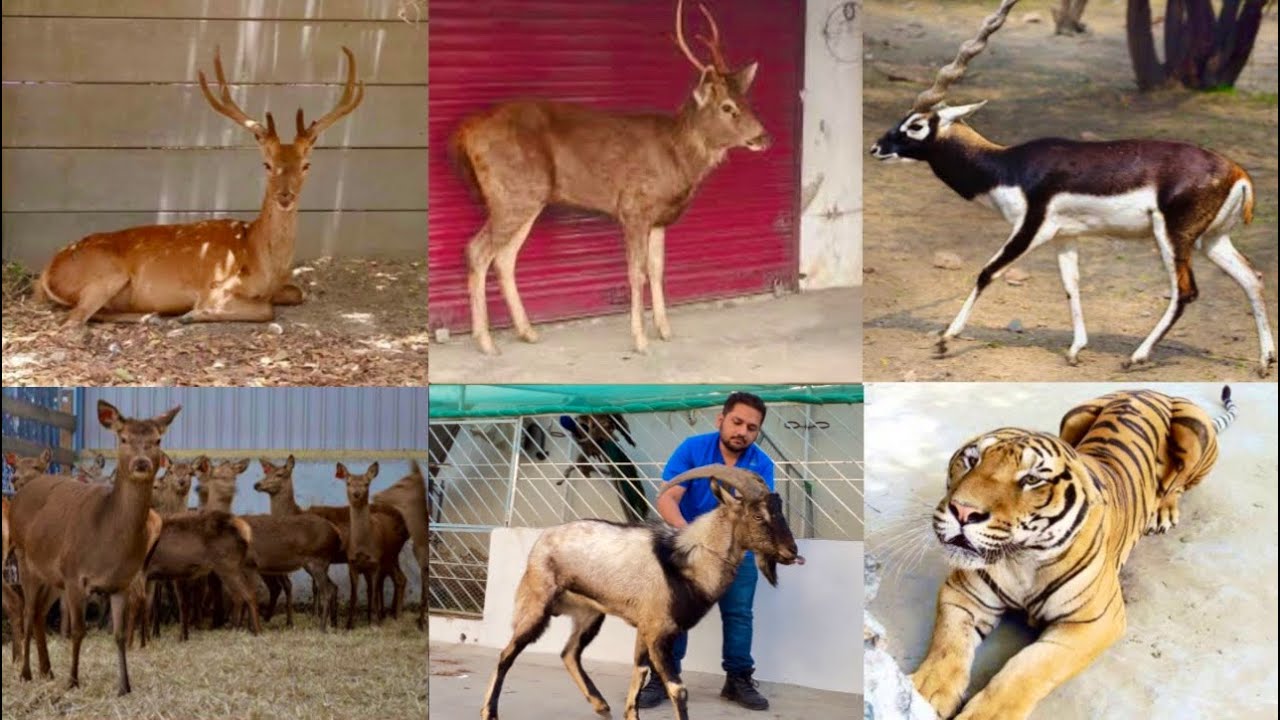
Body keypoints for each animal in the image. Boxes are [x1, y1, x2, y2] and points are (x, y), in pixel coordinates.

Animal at [7, 400, 176, 696]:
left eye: (157, 439)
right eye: (123, 438)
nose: (141, 462)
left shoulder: (120, 583)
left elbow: (118, 634)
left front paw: (125, 687)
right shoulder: (75, 575)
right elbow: (78, 630)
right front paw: (73, 681)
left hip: (53, 575)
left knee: (38, 612)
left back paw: (47, 670)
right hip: (25, 557)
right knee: (27, 613)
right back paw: (26, 673)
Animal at [36, 46, 364, 326]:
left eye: (306, 165)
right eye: (267, 164)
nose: (285, 196)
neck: (260, 258)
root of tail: (47, 272)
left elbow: (297, 293)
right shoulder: (218, 286)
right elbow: (265, 309)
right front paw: (193, 313)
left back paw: (151, 316)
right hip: (106, 273)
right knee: (74, 321)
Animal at [451, 0, 770, 355]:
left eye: (747, 101)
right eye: (727, 107)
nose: (763, 137)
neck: (677, 155)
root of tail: (465, 131)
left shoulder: (660, 218)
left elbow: (657, 270)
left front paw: (664, 330)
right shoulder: (634, 207)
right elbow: (636, 273)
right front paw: (640, 339)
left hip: (527, 197)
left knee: (504, 258)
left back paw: (527, 332)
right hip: (512, 193)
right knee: (477, 251)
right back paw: (486, 342)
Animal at [868, 0, 1275, 377]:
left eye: (916, 125)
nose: (876, 148)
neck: (1007, 166)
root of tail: (1238, 172)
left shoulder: (1031, 226)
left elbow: (987, 272)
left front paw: (944, 339)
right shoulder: (1065, 236)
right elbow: (1071, 285)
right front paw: (1076, 349)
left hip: (1173, 236)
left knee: (1185, 292)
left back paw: (1136, 357)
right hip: (1210, 239)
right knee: (1251, 279)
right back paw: (1264, 361)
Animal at [911, 386, 1238, 720]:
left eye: (1031, 479)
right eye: (972, 459)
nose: (963, 511)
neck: (1021, 559)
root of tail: (1149, 389)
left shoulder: (1093, 622)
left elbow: (1026, 669)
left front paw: (985, 715)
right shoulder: (962, 594)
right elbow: (947, 645)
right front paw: (922, 692)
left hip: (1195, 427)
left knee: (1178, 483)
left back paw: (1163, 510)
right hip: (1075, 415)